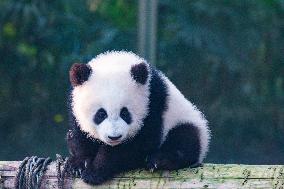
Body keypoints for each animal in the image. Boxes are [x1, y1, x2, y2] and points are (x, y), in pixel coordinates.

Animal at [66, 50, 209, 185]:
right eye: (101, 114)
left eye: (125, 113)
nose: (114, 137)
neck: (116, 62)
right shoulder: (75, 107)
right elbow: (79, 135)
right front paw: (78, 164)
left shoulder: (153, 103)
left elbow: (139, 144)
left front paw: (95, 172)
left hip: (186, 122)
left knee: (185, 139)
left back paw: (159, 160)